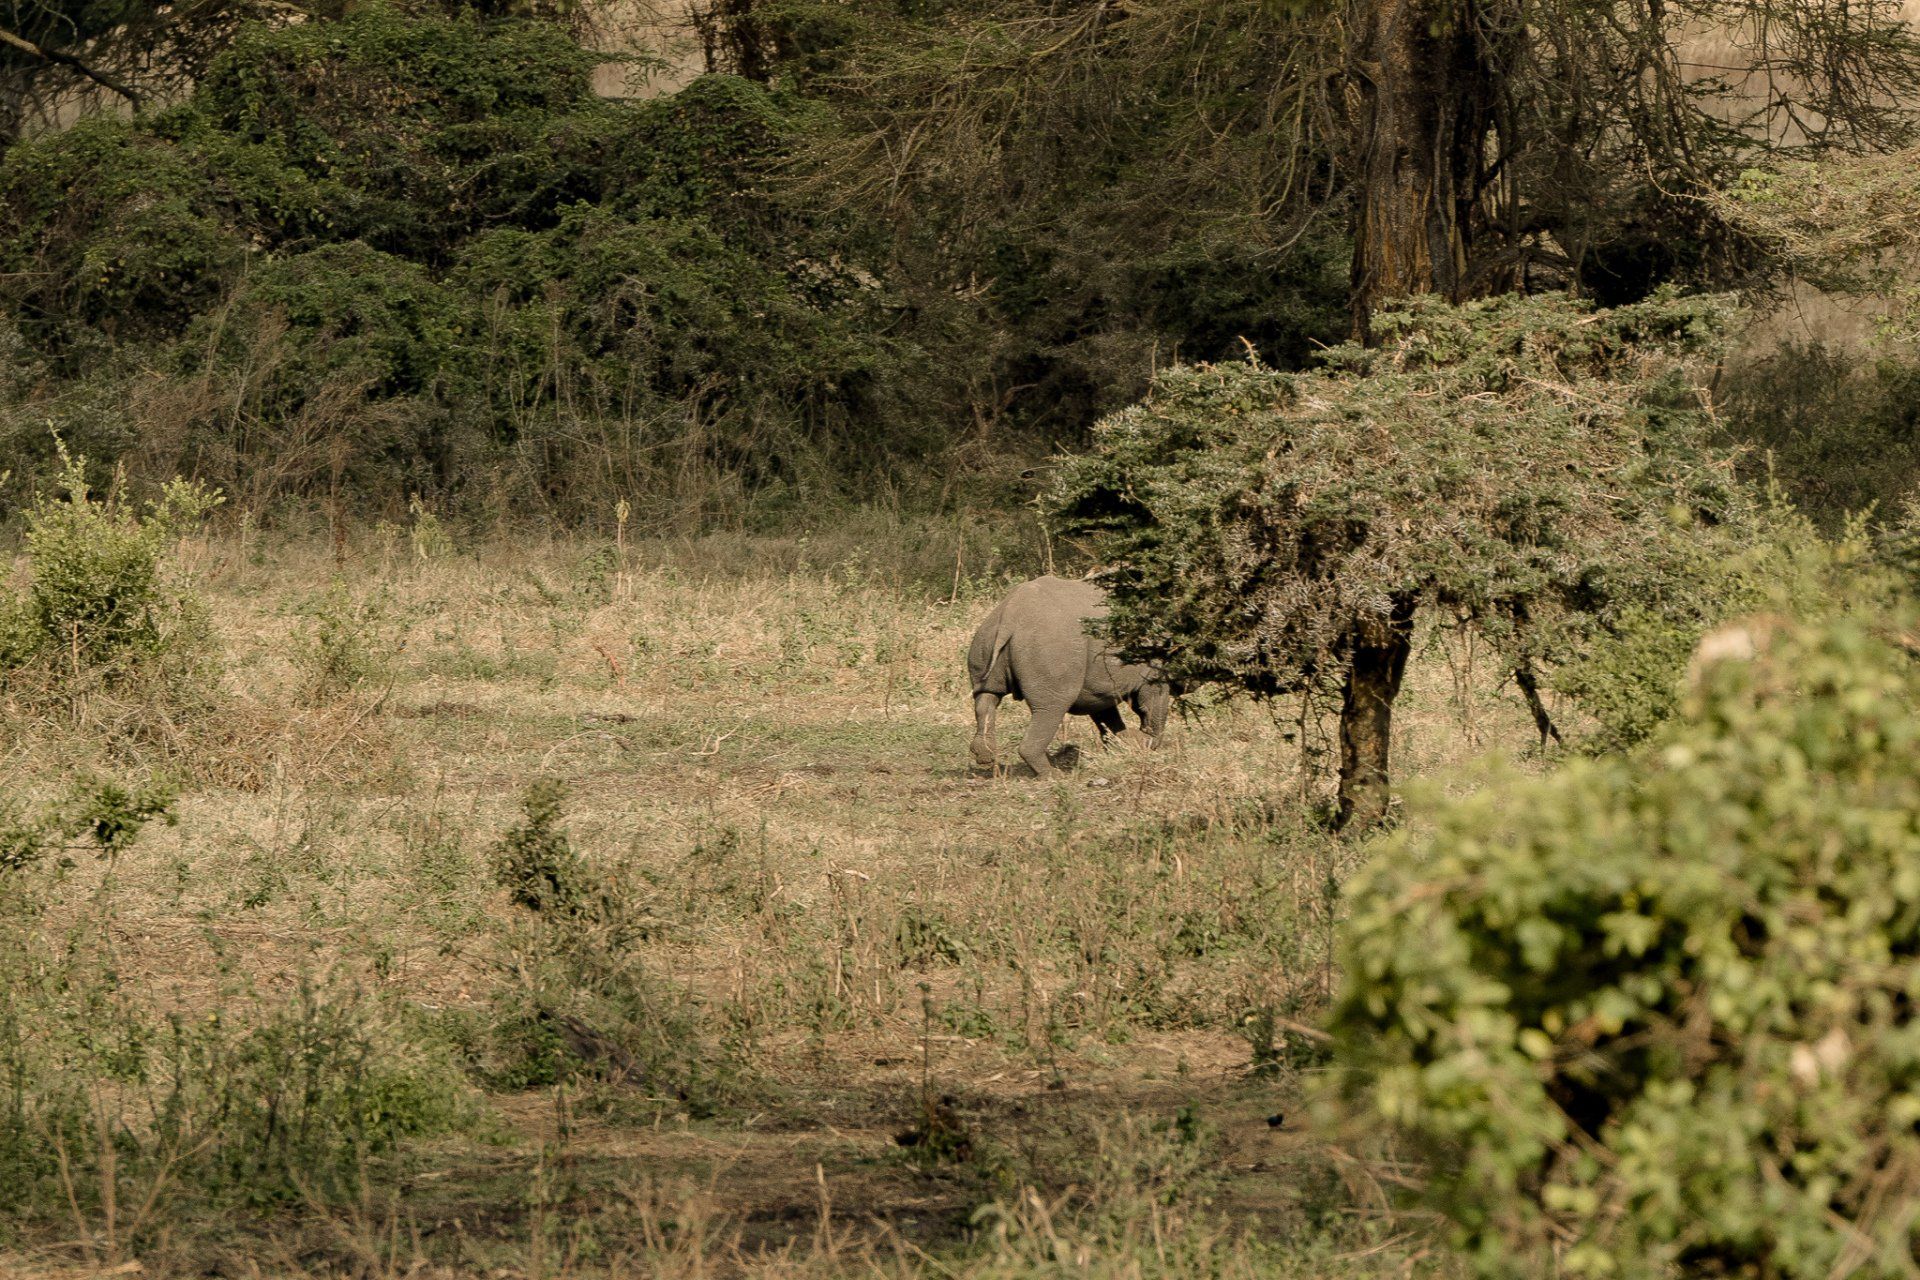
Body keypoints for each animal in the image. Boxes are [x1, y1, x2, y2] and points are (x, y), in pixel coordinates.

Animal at [967, 575, 1171, 777]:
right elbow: (1153, 705)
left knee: (987, 694)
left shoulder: (1099, 686)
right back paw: (1054, 776)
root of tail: (1009, 615)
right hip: (1051, 644)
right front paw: (1146, 742)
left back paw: (985, 757)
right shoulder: (1153, 670)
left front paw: (1127, 743)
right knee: (1053, 706)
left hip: (986, 635)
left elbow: (1107, 716)